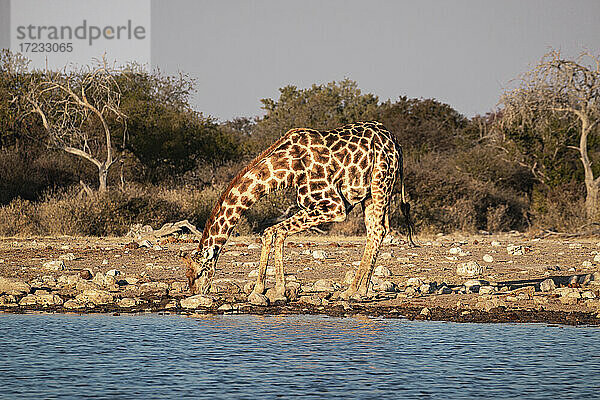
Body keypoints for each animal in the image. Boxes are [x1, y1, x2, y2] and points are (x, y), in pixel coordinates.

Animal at [183, 120, 414, 302]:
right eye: (187, 275)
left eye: (199, 272)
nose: (196, 292)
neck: (288, 169)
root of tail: (398, 145)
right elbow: (270, 232)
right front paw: (261, 289)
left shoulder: (334, 206)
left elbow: (277, 231)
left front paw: (278, 290)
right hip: (368, 194)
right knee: (375, 230)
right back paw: (362, 290)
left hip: (381, 181)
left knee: (379, 229)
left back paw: (351, 291)